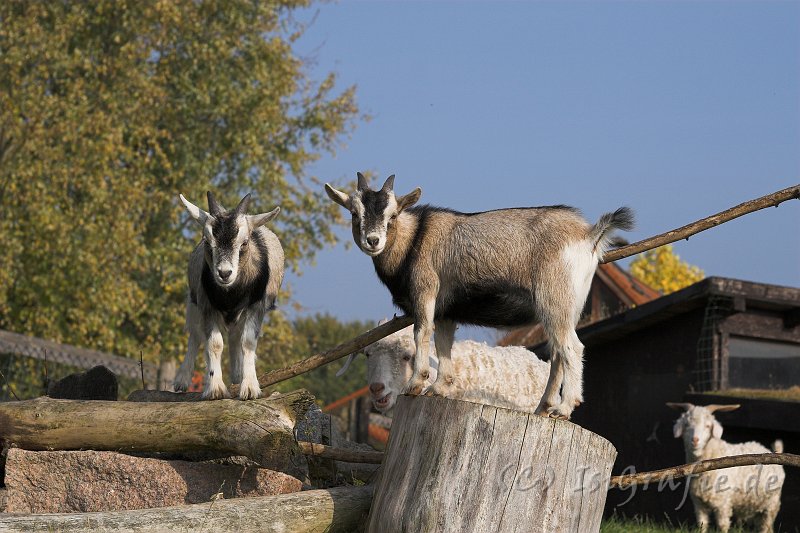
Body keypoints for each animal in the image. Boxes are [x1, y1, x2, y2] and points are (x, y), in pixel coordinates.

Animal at [174, 191, 284, 400]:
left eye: (244, 242)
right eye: (207, 241)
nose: (224, 273)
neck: (231, 294)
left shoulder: (256, 305)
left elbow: (247, 342)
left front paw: (249, 388)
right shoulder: (207, 305)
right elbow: (214, 344)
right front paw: (215, 388)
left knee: (235, 337)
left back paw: (238, 375)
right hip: (193, 302)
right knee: (196, 335)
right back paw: (182, 380)